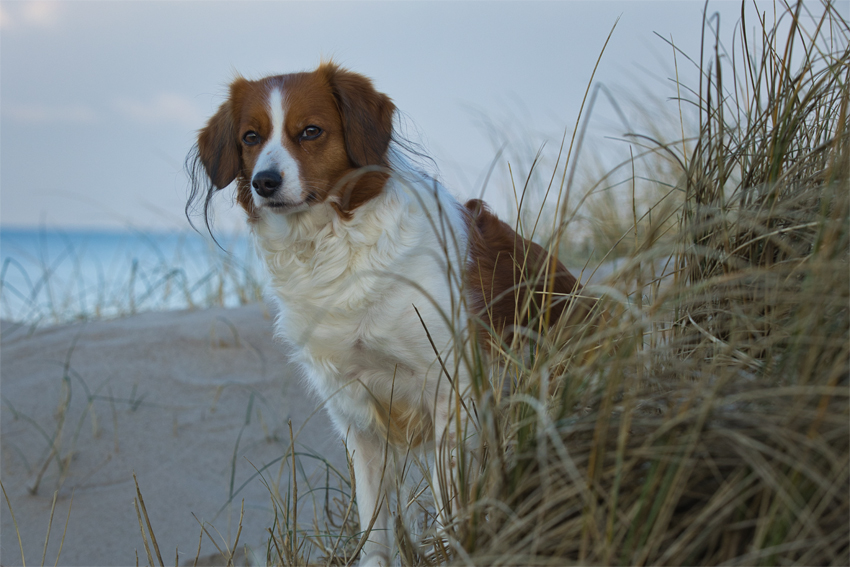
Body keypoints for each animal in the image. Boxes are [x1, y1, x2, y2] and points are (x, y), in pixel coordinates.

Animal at [188, 63, 592, 567]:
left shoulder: (453, 390)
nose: (264, 181)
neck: (334, 250)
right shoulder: (357, 414)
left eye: (311, 131)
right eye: (250, 137)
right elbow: (374, 526)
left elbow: (450, 506)